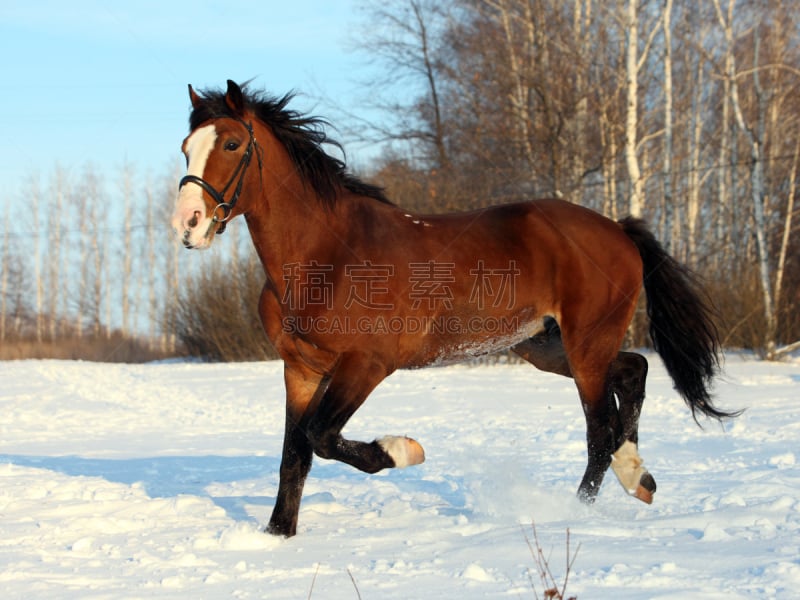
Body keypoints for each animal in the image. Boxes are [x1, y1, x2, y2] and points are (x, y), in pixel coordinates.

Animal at [170, 81, 736, 540]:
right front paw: (278, 535)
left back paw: (584, 507)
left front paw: (405, 450)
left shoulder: (367, 365)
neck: (324, 259)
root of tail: (618, 230)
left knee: (599, 430)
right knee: (633, 373)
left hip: (584, 346)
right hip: (548, 346)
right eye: (185, 148)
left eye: (232, 144)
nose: (188, 224)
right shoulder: (301, 370)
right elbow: (295, 456)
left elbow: (321, 437)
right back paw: (638, 475)